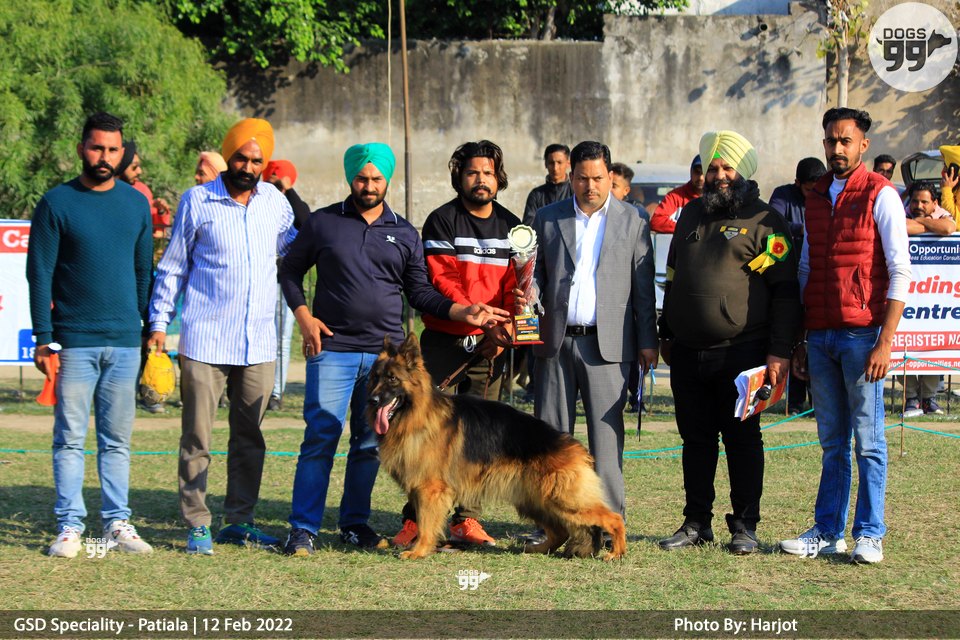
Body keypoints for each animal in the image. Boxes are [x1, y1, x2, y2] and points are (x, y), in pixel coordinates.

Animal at [366, 333, 626, 561]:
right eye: (375, 378)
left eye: (392, 379)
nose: (373, 400)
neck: (418, 415)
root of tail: (575, 447)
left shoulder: (430, 490)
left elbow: (426, 524)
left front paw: (419, 551)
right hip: (536, 501)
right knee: (560, 531)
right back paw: (537, 549)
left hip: (564, 500)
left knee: (614, 518)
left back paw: (616, 552)